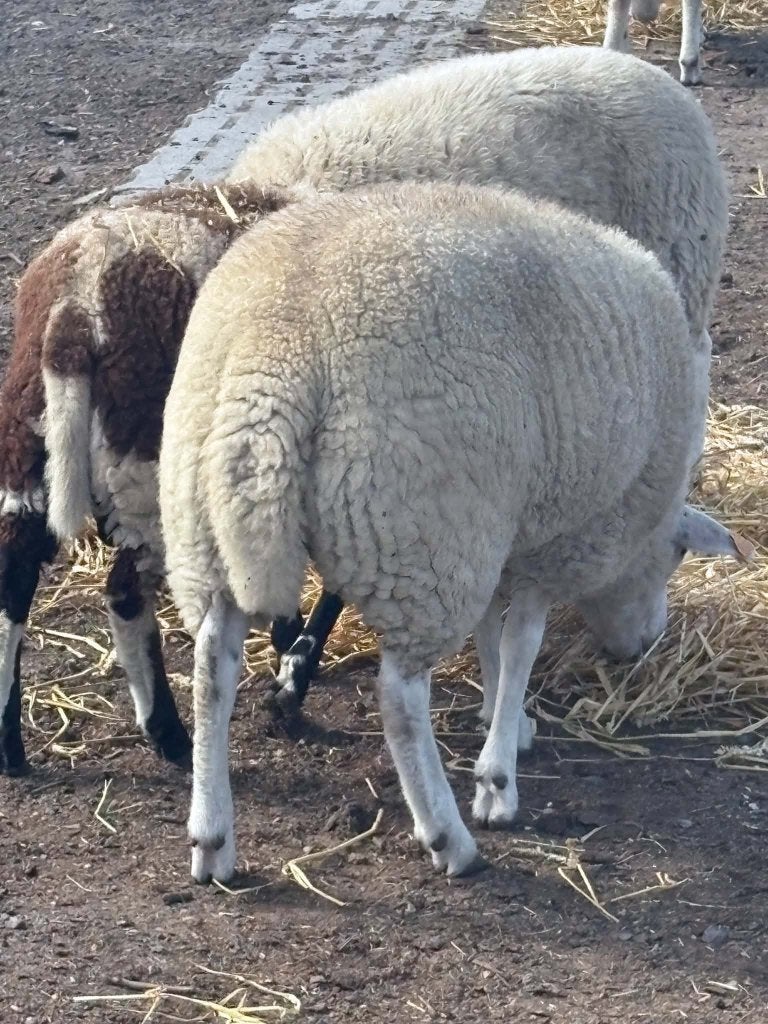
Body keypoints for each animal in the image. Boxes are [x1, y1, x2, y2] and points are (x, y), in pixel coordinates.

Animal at [0, 182, 300, 775]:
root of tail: (73, 311)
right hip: (147, 463)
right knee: (126, 593)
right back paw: (170, 735)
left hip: (27, 440)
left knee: (12, 580)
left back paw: (9, 748)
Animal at [158, 181, 743, 882]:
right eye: (677, 556)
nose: (643, 645)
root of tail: (272, 355)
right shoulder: (554, 539)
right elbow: (521, 643)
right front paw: (498, 777)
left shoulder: (497, 525)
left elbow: (491, 631)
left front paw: (503, 718)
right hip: (420, 533)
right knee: (399, 700)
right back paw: (449, 836)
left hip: (205, 526)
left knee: (211, 669)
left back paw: (213, 839)